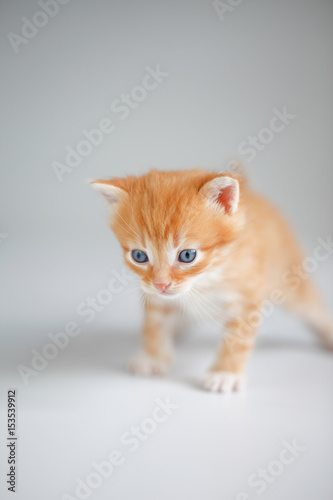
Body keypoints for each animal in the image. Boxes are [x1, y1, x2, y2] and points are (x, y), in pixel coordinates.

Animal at [91, 170, 332, 392]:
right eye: (139, 256)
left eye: (187, 255)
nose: (161, 284)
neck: (205, 280)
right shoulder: (155, 296)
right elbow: (154, 324)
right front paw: (153, 357)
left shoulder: (246, 299)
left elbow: (237, 340)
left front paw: (224, 373)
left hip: (291, 283)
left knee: (313, 305)